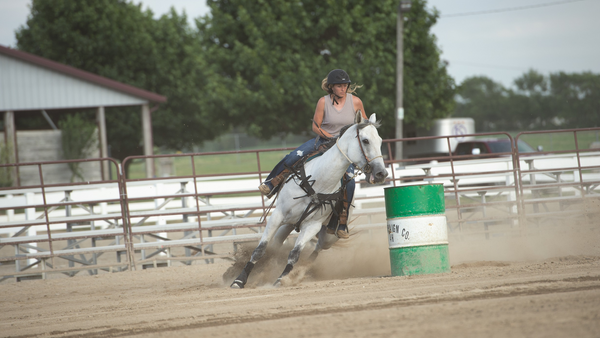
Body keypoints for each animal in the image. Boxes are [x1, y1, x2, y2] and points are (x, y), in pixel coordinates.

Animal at [230, 111, 390, 288]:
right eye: (365, 140)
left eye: (380, 140)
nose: (381, 173)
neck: (319, 181)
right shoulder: (277, 215)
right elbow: (260, 249)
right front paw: (239, 280)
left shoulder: (312, 225)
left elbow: (294, 254)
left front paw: (281, 279)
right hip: (288, 223)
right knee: (276, 245)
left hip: (330, 235)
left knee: (318, 248)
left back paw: (304, 269)